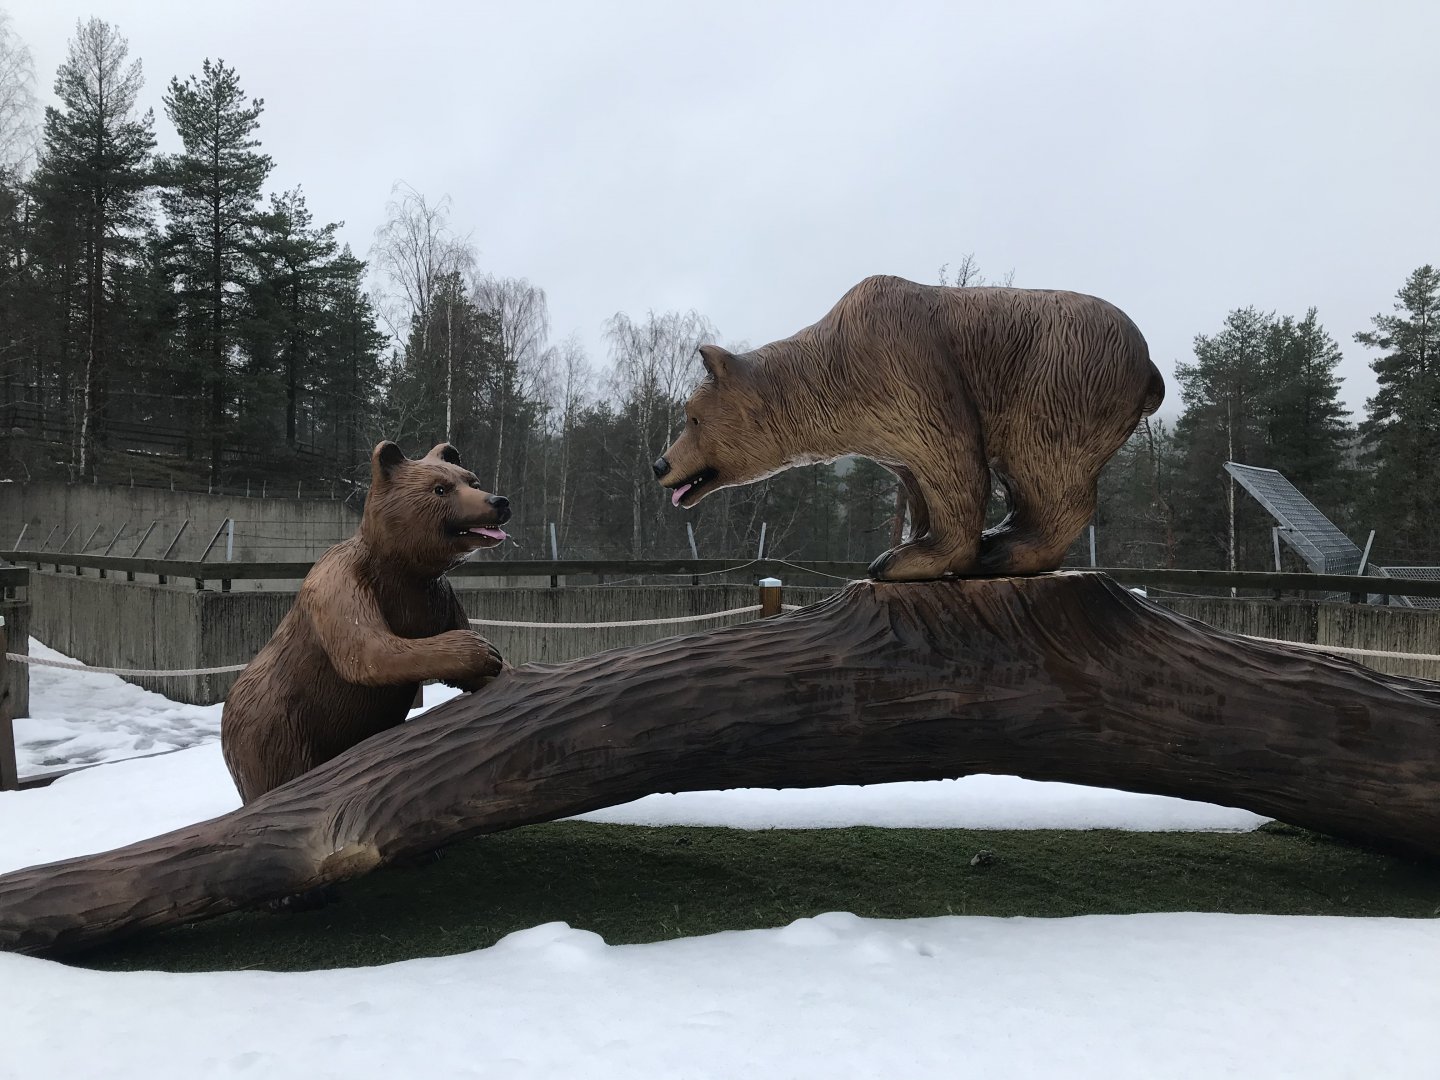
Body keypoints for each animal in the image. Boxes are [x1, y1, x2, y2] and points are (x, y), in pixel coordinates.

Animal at [221, 441, 511, 804]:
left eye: (472, 481)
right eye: (440, 489)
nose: (499, 502)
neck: (402, 571)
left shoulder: (438, 597)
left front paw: (500, 667)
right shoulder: (341, 584)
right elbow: (366, 652)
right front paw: (482, 649)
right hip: (273, 728)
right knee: (280, 776)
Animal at [653, 274, 1164, 580]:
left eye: (692, 416)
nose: (660, 464)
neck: (832, 378)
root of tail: (1149, 367)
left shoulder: (907, 367)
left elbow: (955, 462)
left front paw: (909, 559)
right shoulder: (890, 429)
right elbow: (915, 479)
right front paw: (912, 542)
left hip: (1061, 378)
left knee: (1047, 467)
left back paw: (1006, 550)